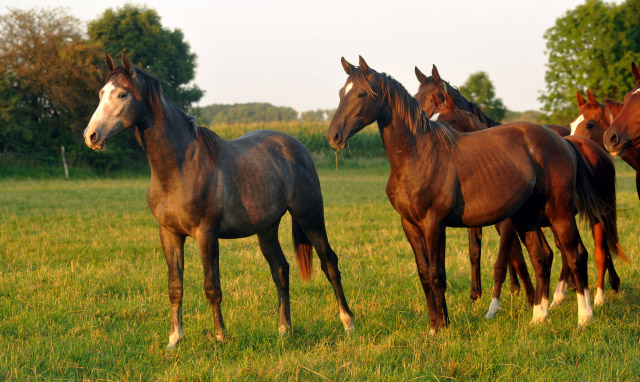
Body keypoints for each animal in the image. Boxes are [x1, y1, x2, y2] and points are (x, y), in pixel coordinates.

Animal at [82, 52, 356, 348]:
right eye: (101, 93)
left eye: (122, 94)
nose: (91, 136)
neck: (178, 168)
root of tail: (297, 146)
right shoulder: (169, 234)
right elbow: (175, 286)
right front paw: (174, 339)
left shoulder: (206, 234)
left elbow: (212, 286)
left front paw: (220, 336)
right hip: (267, 228)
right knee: (280, 269)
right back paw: (284, 329)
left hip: (310, 217)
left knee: (329, 263)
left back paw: (348, 323)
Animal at [330, 55, 600, 332]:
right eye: (342, 93)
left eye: (361, 94)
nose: (333, 136)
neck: (417, 156)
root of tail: (563, 141)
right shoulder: (410, 225)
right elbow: (425, 274)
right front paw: (436, 323)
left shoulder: (434, 223)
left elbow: (437, 275)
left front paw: (439, 328)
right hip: (527, 217)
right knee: (541, 257)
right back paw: (539, 317)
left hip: (559, 214)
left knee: (575, 256)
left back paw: (584, 317)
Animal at [432, 93, 628, 314]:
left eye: (446, 122)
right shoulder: (513, 224)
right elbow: (518, 258)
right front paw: (531, 297)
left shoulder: (510, 224)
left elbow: (503, 261)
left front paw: (496, 306)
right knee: (573, 251)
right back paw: (561, 295)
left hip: (596, 214)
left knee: (599, 251)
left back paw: (599, 297)